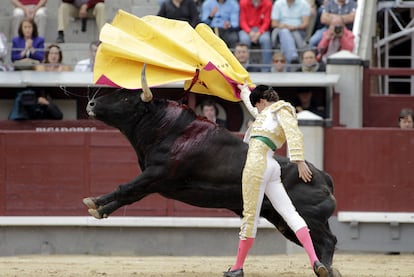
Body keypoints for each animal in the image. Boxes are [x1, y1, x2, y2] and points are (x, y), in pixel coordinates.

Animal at [83, 77, 340, 274]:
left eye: (126, 98)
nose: (92, 103)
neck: (166, 128)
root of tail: (324, 177)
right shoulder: (152, 182)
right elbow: (129, 194)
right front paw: (99, 210)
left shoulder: (157, 174)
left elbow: (125, 188)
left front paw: (93, 201)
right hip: (281, 219)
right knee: (312, 239)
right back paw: (325, 269)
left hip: (308, 216)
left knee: (328, 240)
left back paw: (324, 268)